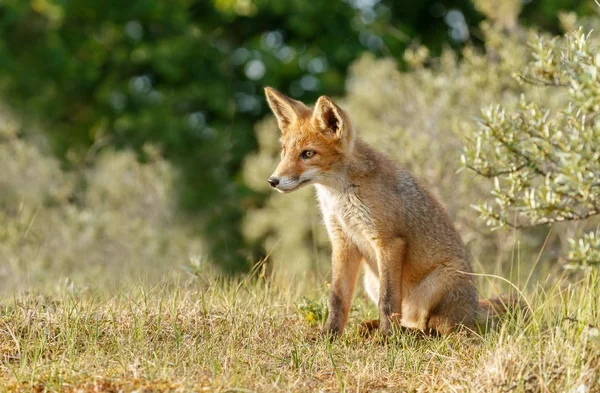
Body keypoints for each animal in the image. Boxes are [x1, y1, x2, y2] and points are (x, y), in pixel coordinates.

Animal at [264, 86, 516, 336]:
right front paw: (329, 336)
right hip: (370, 281)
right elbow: (337, 299)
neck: (341, 196)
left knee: (438, 329)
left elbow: (387, 300)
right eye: (284, 151)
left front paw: (386, 338)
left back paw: (404, 334)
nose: (273, 181)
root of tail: (473, 312)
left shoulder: (388, 241)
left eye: (308, 154)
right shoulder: (343, 242)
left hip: (439, 284)